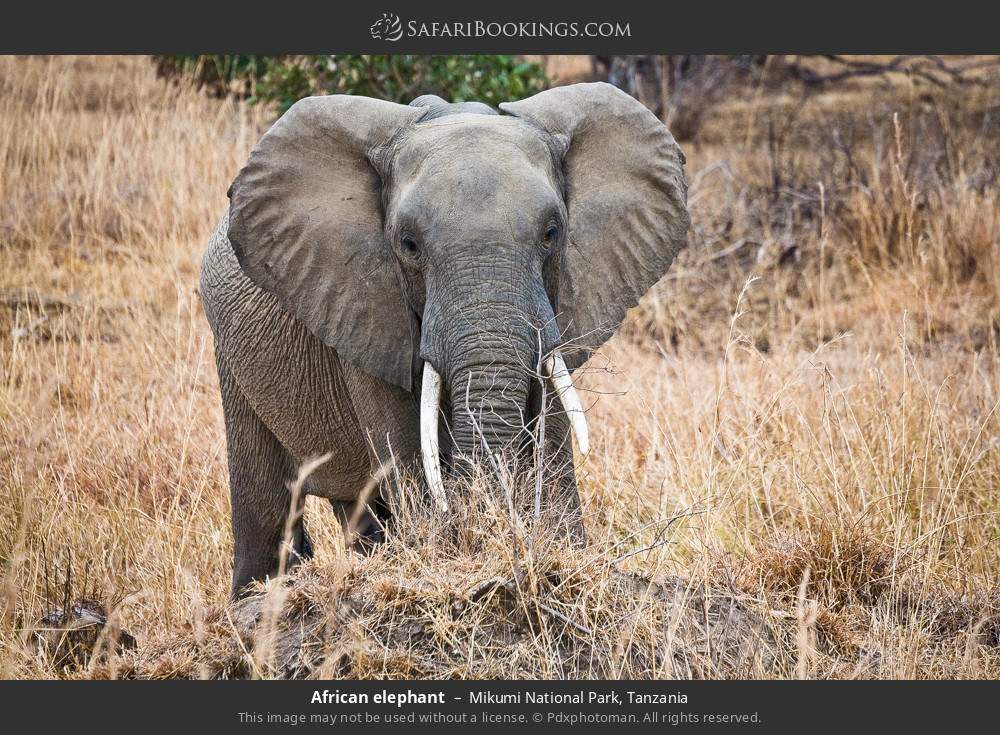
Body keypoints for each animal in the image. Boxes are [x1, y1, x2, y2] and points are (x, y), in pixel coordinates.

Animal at [199, 82, 689, 596]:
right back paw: (256, 597)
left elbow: (553, 424)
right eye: (409, 245)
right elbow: (407, 445)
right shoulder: (366, 302)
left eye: (552, 233)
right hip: (230, 347)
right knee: (267, 502)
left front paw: (561, 550)